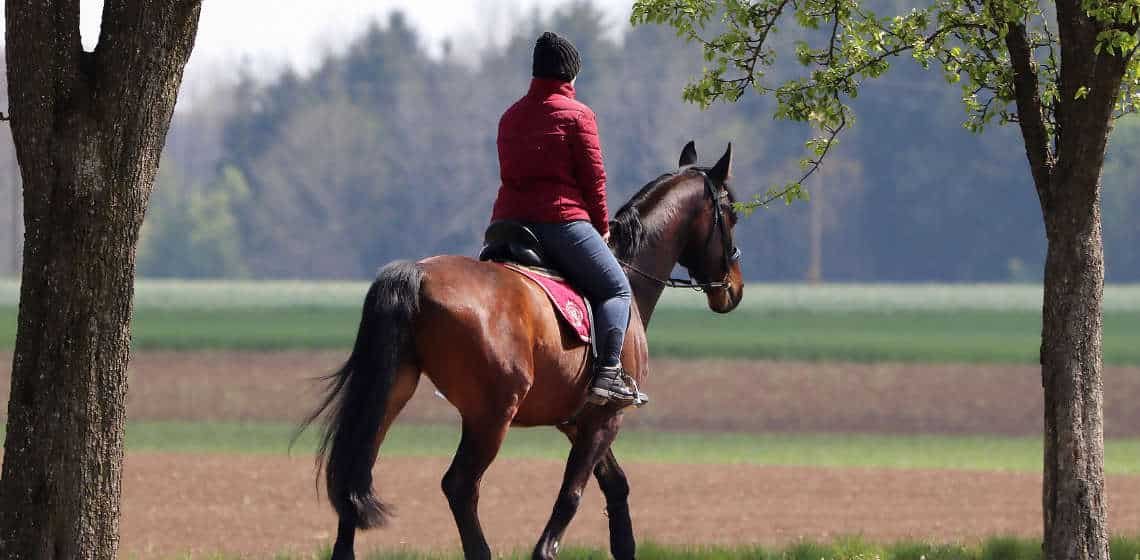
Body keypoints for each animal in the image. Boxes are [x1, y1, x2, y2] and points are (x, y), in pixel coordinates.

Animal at [303, 141, 745, 560]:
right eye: (731, 214)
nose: (735, 289)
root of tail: (418, 273)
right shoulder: (606, 418)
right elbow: (571, 495)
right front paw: (547, 548)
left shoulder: (577, 420)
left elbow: (616, 487)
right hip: (492, 415)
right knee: (460, 486)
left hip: (391, 394)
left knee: (355, 470)